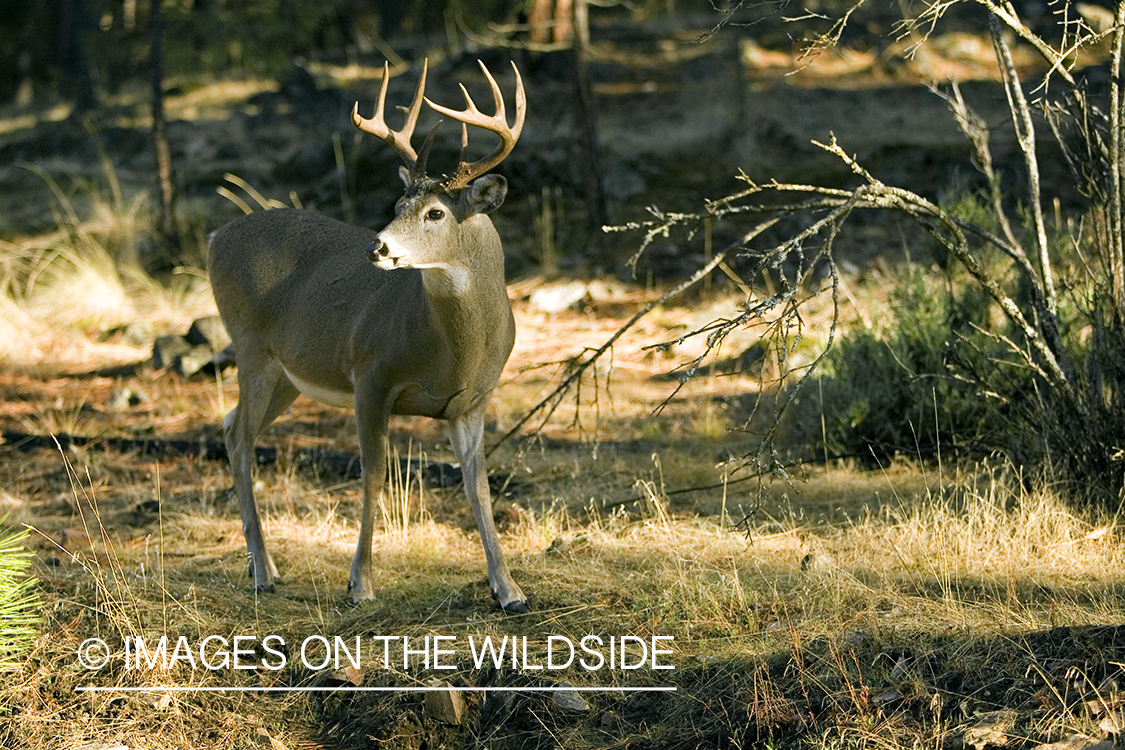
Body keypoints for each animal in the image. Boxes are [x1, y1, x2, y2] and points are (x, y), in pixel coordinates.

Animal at [205, 61, 526, 611]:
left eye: (435, 212)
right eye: (398, 203)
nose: (377, 246)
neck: (453, 352)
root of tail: (212, 238)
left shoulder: (472, 402)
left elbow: (478, 485)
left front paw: (509, 589)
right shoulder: (370, 375)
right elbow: (374, 475)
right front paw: (361, 582)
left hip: (288, 374)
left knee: (229, 426)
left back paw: (263, 564)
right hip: (251, 348)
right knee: (241, 438)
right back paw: (263, 571)